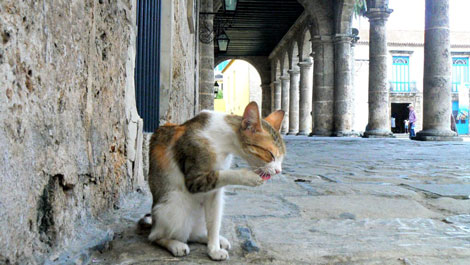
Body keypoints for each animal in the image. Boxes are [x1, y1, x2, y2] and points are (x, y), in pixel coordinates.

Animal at [145, 101, 284, 260]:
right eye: (270, 154)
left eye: (282, 157)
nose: (279, 171)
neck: (222, 141)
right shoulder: (195, 179)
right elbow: (221, 174)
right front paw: (249, 177)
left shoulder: (215, 192)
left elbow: (214, 222)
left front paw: (214, 249)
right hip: (174, 205)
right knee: (156, 237)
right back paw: (175, 244)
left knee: (193, 234)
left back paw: (210, 238)